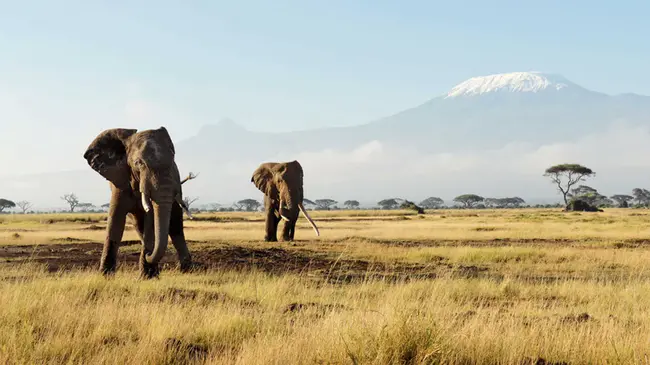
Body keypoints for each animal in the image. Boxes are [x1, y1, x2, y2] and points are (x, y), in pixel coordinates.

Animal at [83, 126, 195, 278]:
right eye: (138, 163)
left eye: (173, 162)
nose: (148, 253)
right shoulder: (120, 182)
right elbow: (115, 220)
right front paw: (105, 276)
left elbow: (151, 221)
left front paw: (147, 276)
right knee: (139, 225)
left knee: (175, 226)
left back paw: (186, 270)